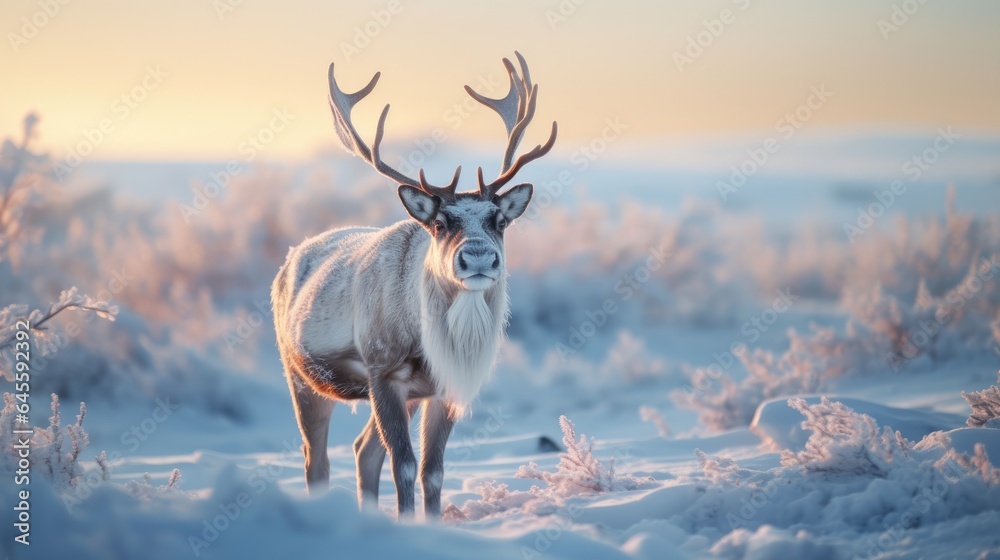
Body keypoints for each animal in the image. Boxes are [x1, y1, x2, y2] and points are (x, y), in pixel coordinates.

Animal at [271, 52, 557, 520]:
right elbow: (404, 465)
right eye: (440, 223)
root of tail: (290, 260)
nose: (479, 256)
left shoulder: (441, 389)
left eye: (499, 221)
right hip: (300, 374)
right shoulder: (383, 371)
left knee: (363, 449)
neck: (427, 344)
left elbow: (432, 471)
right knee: (317, 459)